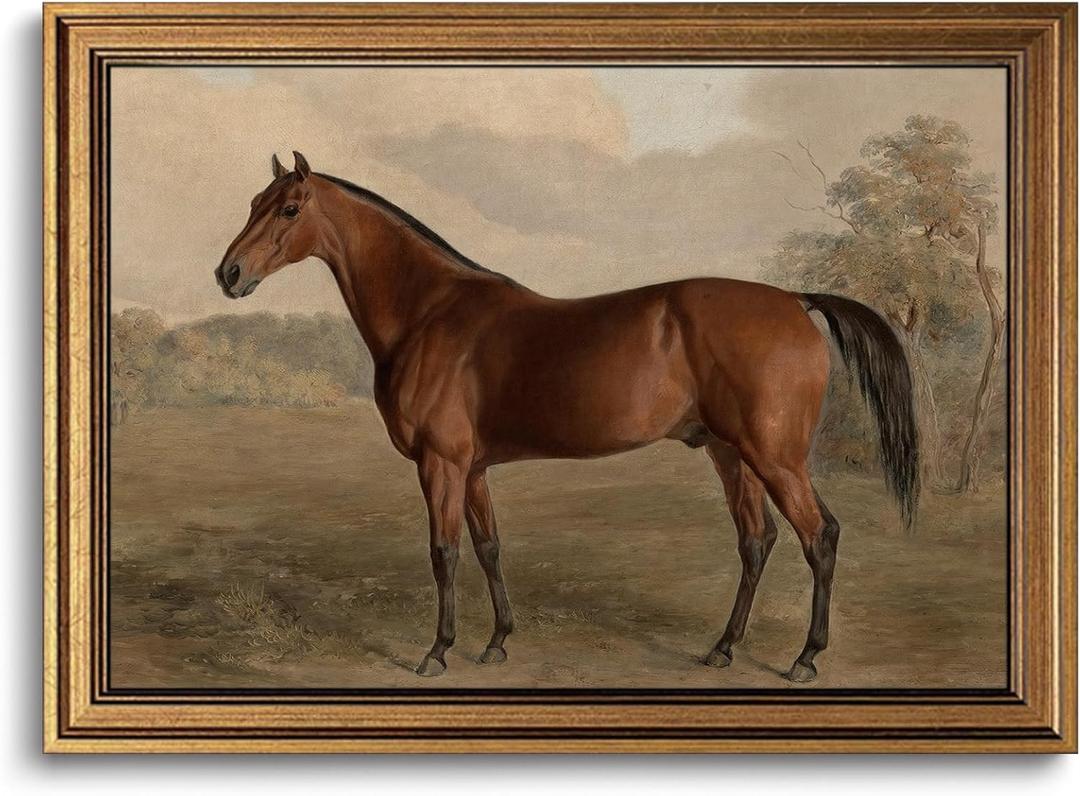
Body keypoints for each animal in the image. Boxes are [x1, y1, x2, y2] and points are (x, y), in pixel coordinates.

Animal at [215, 151, 919, 683]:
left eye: (289, 209)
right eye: (251, 202)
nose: (229, 273)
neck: (430, 313)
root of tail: (795, 302)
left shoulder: (441, 465)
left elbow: (444, 552)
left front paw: (437, 651)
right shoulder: (473, 469)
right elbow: (489, 547)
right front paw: (497, 641)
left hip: (776, 456)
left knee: (819, 536)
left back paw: (806, 658)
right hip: (730, 453)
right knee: (756, 540)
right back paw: (722, 649)